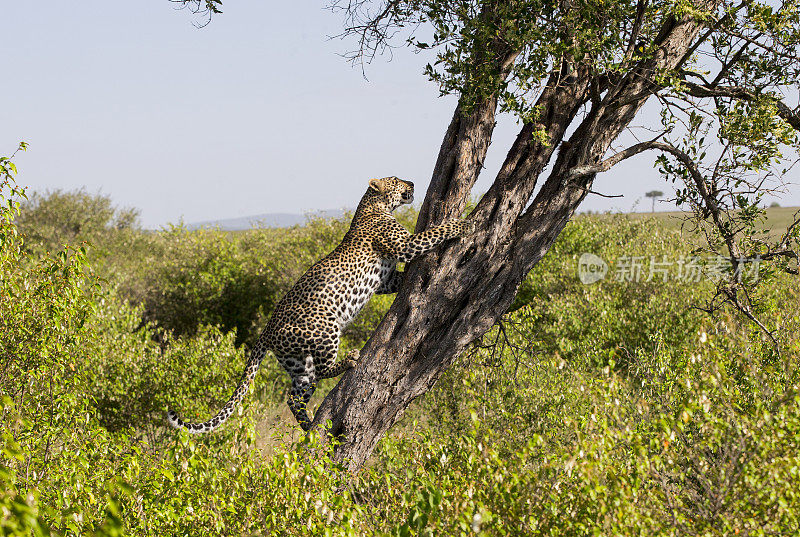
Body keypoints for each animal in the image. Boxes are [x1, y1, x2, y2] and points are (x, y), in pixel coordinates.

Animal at [166, 176, 472, 432]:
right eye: (396, 179)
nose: (412, 182)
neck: (373, 206)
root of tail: (266, 331)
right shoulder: (405, 245)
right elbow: (434, 232)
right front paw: (462, 224)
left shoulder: (386, 281)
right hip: (326, 329)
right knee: (323, 371)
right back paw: (348, 361)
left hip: (297, 362)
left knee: (294, 396)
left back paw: (308, 426)